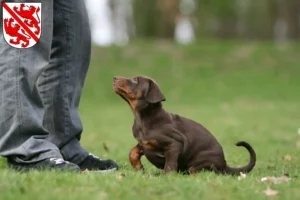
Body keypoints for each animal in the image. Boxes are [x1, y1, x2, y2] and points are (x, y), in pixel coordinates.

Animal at [112, 76, 255, 174]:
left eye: (135, 80)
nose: (114, 77)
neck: (143, 117)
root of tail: (224, 164)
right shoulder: (144, 143)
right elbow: (132, 152)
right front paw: (138, 167)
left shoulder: (174, 143)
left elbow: (169, 165)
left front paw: (167, 177)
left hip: (200, 161)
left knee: (196, 170)